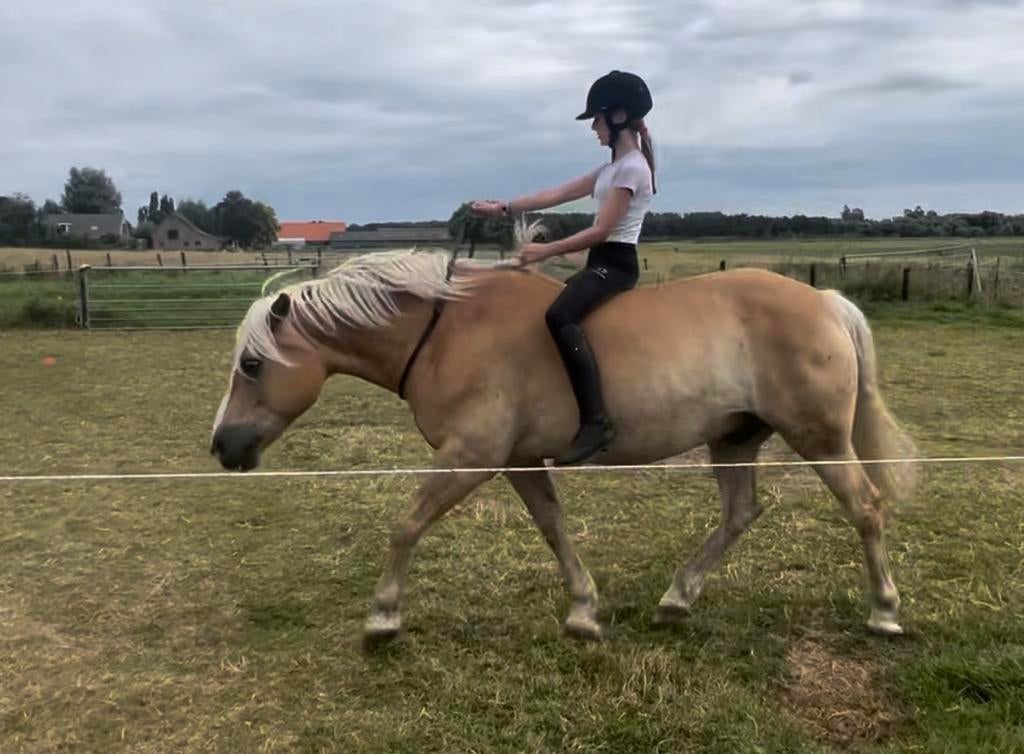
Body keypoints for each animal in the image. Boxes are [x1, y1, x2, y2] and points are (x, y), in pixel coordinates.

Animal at [210, 239, 917, 648]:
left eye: (252, 364)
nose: (223, 446)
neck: (444, 330)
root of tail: (825, 300)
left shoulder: (471, 456)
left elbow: (405, 525)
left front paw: (383, 617)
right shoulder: (518, 461)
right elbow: (553, 528)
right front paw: (584, 610)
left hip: (819, 438)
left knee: (866, 508)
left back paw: (884, 611)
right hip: (734, 437)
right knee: (741, 513)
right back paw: (676, 598)